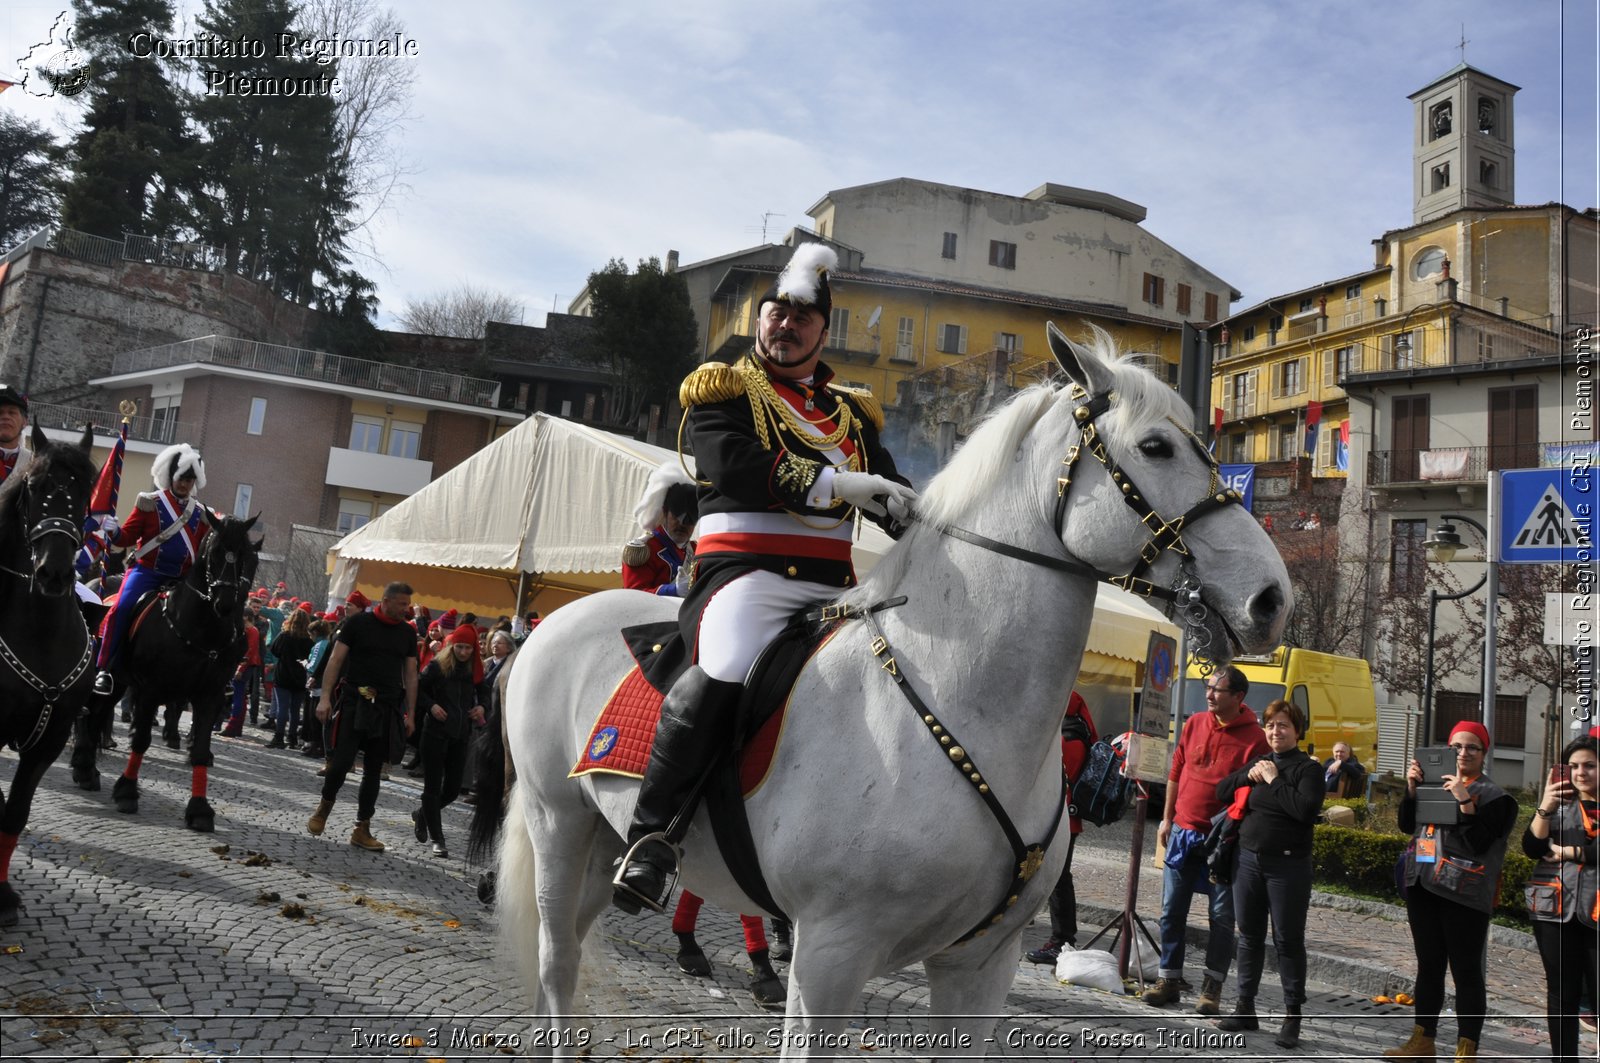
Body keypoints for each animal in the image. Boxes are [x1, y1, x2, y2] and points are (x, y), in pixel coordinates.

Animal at [71, 512, 259, 832]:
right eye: (215, 551)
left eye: (246, 555)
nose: (226, 603)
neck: (200, 628)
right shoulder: (150, 689)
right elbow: (142, 739)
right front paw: (127, 792)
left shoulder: (209, 696)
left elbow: (200, 747)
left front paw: (199, 809)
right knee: (89, 715)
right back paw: (85, 767)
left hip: (119, 683)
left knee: (96, 715)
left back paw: (87, 770)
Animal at [483, 323, 1286, 1056]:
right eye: (1156, 447)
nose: (1273, 598)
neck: (965, 698)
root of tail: (553, 624)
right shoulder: (831, 954)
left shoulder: (980, 964)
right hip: (557, 824)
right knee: (557, 961)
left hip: (598, 838)